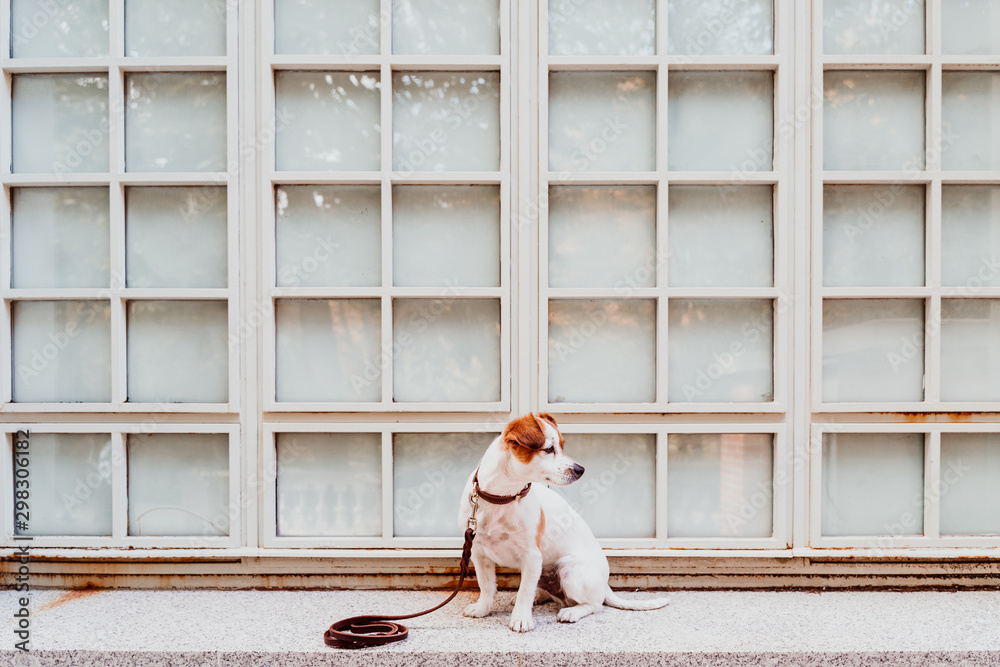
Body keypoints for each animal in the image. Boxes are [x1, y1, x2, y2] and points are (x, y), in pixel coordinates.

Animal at [458, 410, 668, 636]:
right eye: (549, 449)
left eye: (562, 445)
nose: (581, 469)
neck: (502, 498)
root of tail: (605, 584)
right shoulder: (479, 553)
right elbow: (487, 585)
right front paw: (483, 609)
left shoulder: (531, 556)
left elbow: (524, 591)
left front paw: (521, 618)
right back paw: (539, 596)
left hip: (570, 572)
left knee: (595, 605)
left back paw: (571, 612)